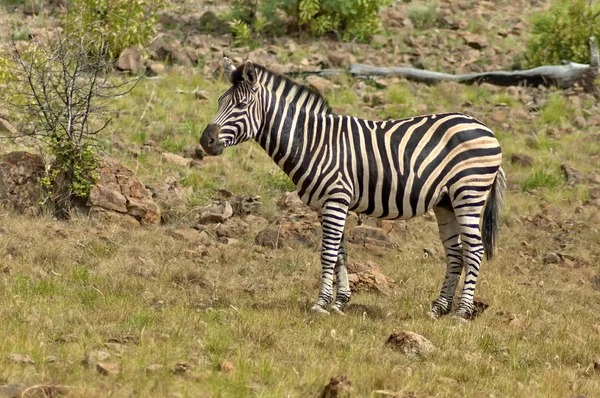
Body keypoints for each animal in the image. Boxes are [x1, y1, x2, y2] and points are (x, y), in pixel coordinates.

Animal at [202, 58, 506, 320]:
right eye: (220, 102)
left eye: (241, 104)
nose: (206, 141)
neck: (312, 142)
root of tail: (486, 128)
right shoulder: (327, 205)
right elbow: (340, 254)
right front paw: (339, 302)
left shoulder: (335, 200)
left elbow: (327, 253)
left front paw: (320, 303)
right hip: (446, 202)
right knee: (455, 253)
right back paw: (438, 308)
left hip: (468, 193)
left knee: (474, 250)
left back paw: (462, 312)